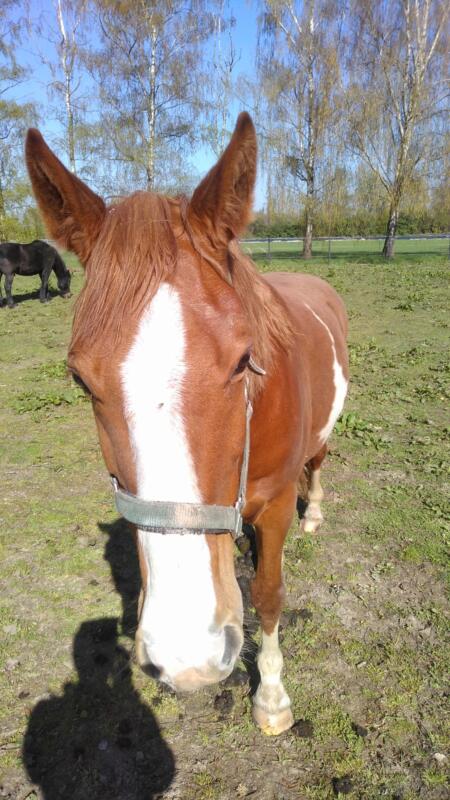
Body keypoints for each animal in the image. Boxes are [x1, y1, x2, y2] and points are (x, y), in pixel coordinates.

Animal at [25, 113, 349, 736]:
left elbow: (269, 593)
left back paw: (316, 512)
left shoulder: (276, 504)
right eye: (81, 380)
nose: (188, 655)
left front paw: (272, 698)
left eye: (245, 360)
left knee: (318, 467)